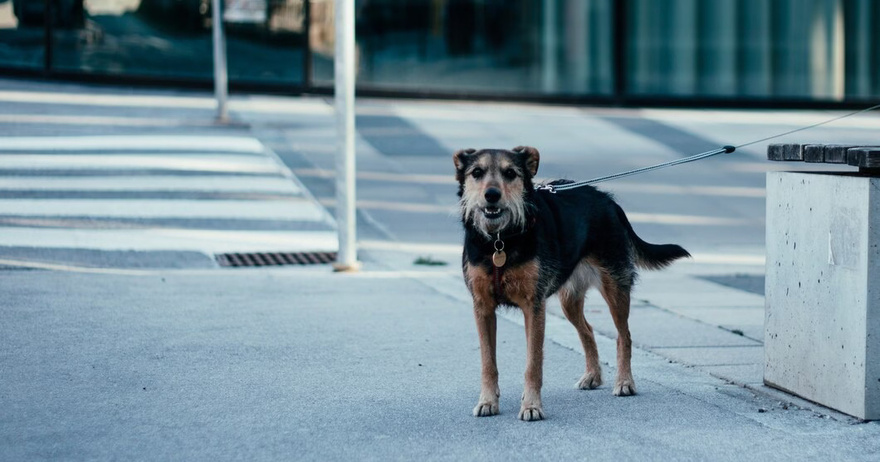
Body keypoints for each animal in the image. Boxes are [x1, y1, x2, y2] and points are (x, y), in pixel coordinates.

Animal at [458, 146, 692, 420]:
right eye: (477, 172)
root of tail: (609, 201)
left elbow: (533, 363)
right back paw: (593, 376)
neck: (500, 240)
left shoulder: (533, 307)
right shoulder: (482, 307)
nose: (492, 195)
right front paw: (487, 401)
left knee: (624, 336)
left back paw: (624, 382)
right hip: (569, 300)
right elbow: (488, 362)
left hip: (616, 288)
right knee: (587, 330)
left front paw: (531, 405)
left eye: (510, 173)